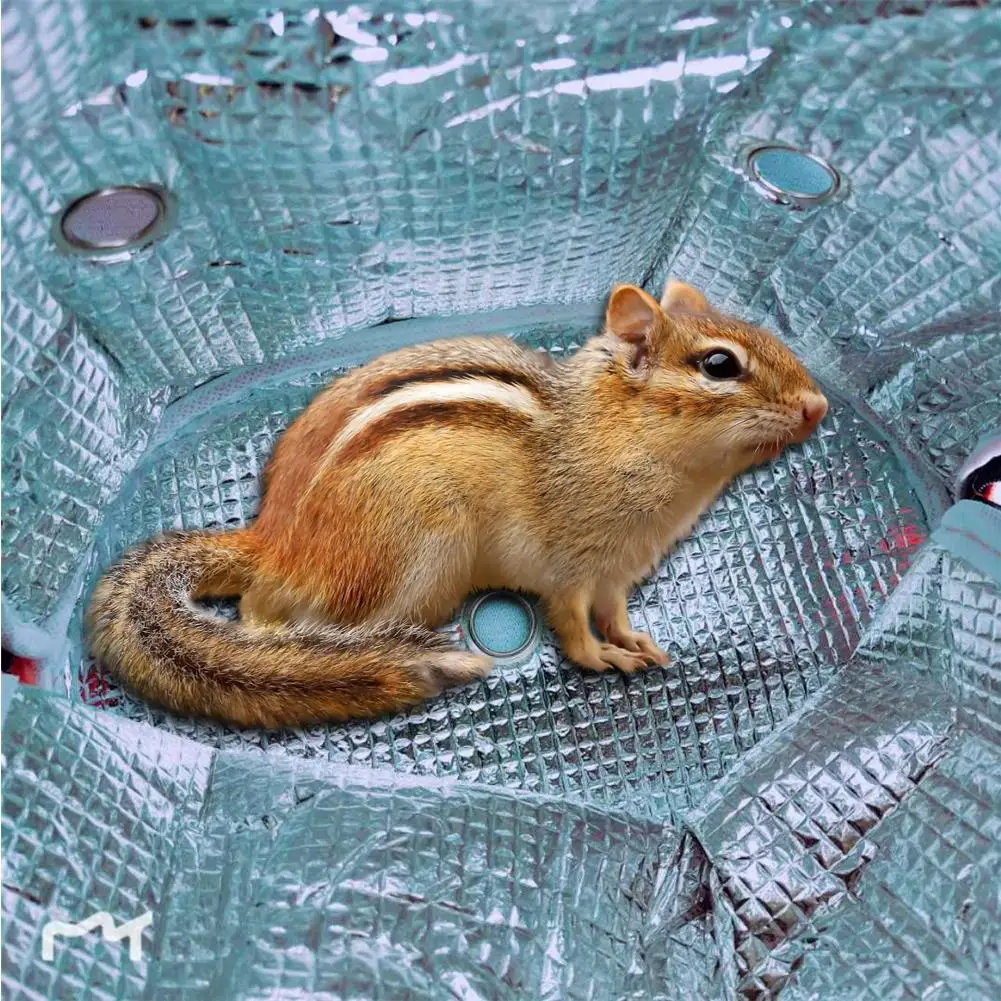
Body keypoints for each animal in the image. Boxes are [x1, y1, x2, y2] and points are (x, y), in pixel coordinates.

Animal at [87, 280, 827, 728]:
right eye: (719, 365)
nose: (817, 406)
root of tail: (272, 542)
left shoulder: (617, 572)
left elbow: (616, 614)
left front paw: (637, 641)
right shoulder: (568, 567)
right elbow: (573, 626)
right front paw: (603, 660)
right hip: (417, 557)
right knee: (269, 622)